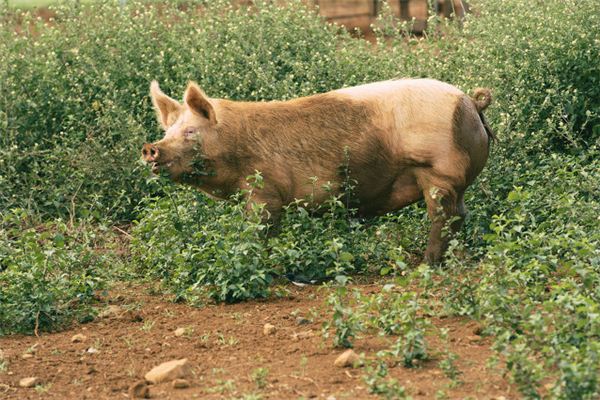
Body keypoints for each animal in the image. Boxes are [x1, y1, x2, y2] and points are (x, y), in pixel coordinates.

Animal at [142, 79, 492, 264]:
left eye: (190, 132)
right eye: (168, 130)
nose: (150, 148)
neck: (234, 144)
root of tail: (471, 103)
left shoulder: (264, 190)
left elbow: (260, 228)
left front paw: (254, 260)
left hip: (438, 171)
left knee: (443, 216)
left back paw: (425, 264)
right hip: (452, 181)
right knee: (461, 214)